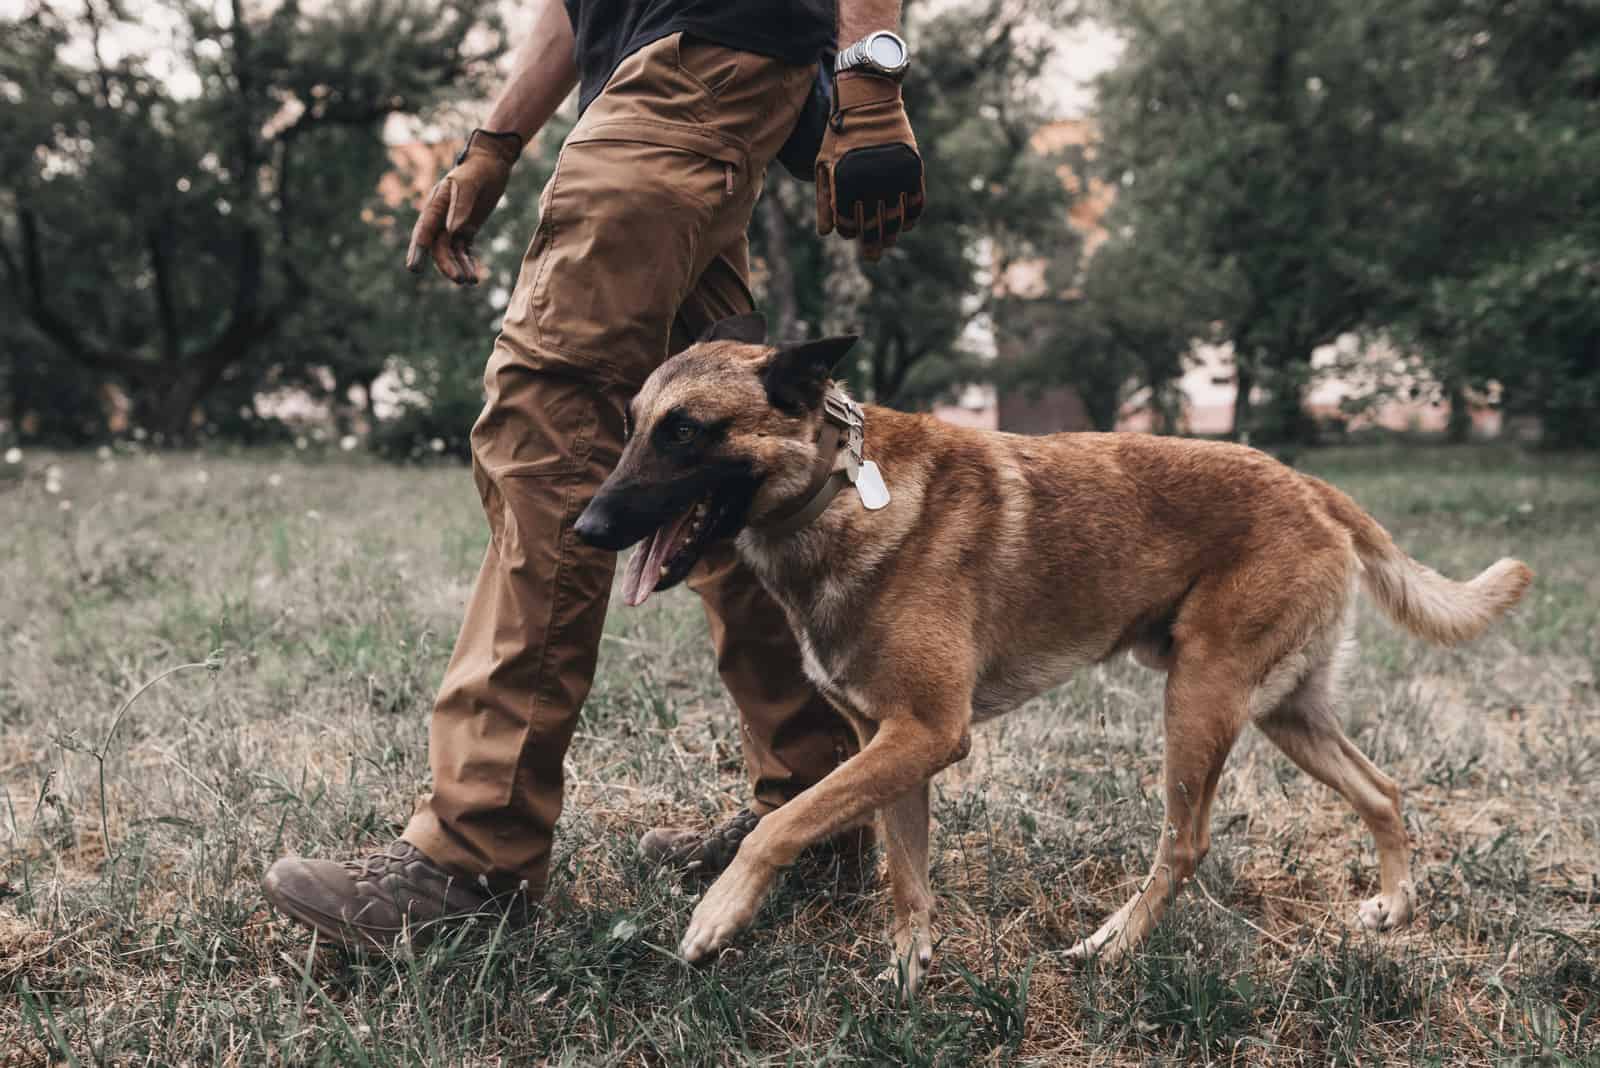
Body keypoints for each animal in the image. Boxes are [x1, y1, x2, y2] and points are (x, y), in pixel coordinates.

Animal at [569, 314, 1529, 991]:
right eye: (634, 425)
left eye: (685, 431)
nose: (585, 528)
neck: (839, 494)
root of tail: (1314, 488)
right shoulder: (895, 744)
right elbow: (904, 874)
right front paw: (909, 975)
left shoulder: (927, 733)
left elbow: (784, 820)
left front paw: (721, 913)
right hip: (1287, 711)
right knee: (1383, 789)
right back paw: (1397, 905)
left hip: (1200, 699)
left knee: (1186, 845)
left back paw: (1113, 946)